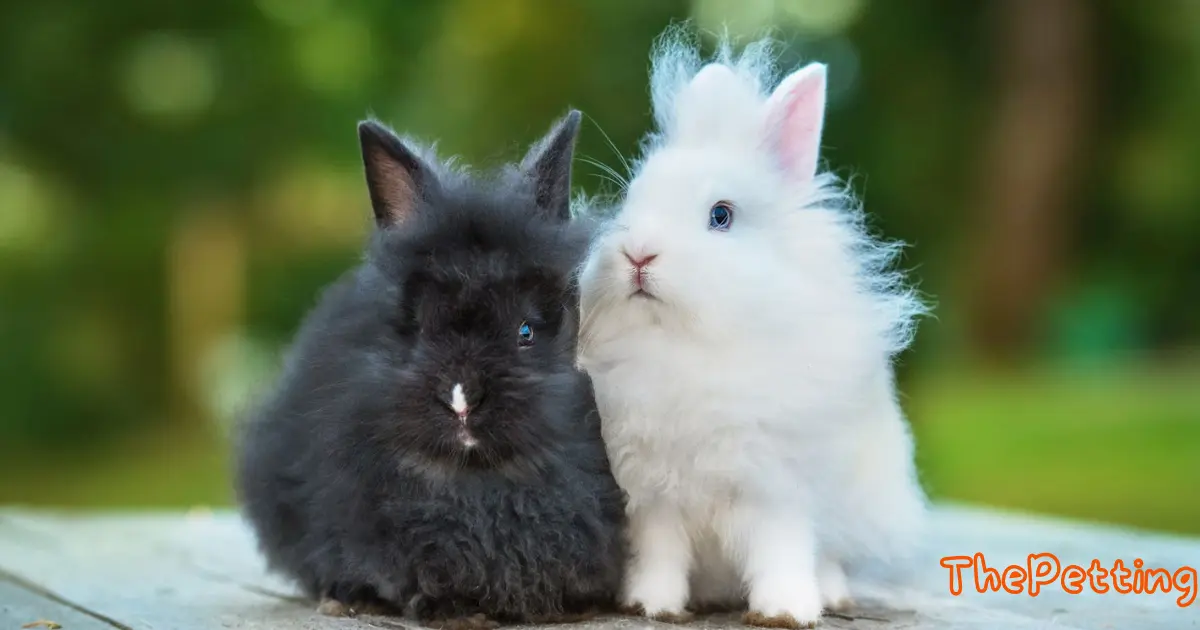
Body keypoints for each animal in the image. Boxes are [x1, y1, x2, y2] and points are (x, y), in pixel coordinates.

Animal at [576, 27, 931, 624]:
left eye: (721, 215)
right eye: (631, 200)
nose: (638, 255)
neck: (686, 347)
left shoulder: (779, 491)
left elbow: (782, 552)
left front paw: (786, 611)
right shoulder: (652, 496)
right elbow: (659, 554)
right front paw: (651, 605)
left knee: (830, 555)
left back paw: (831, 595)